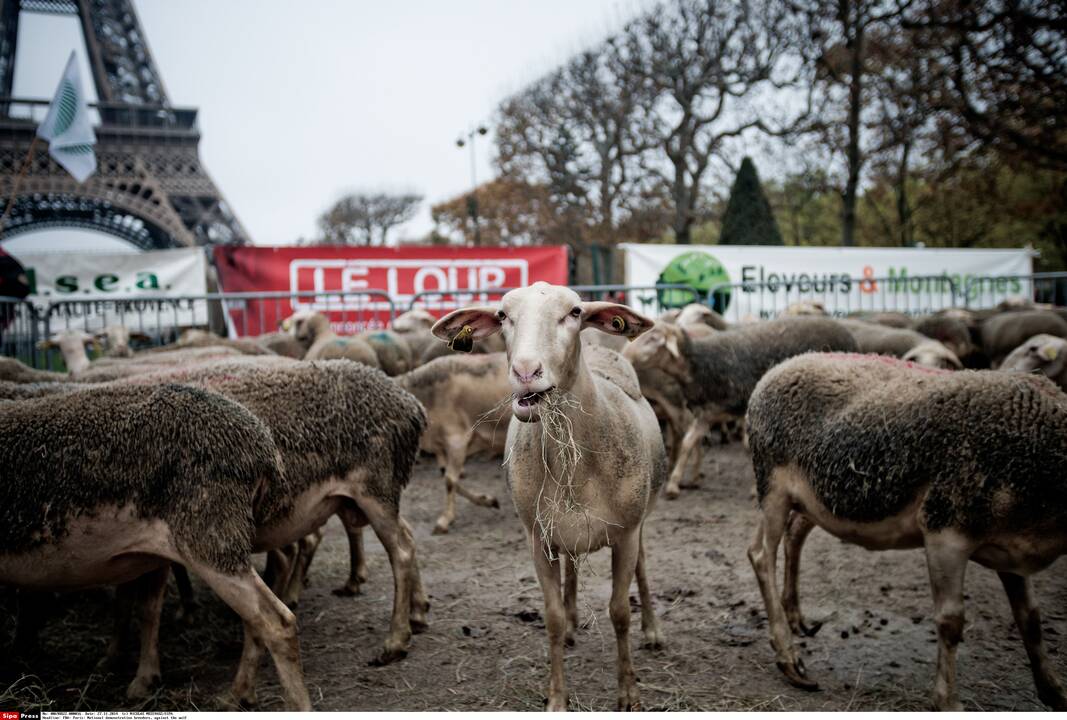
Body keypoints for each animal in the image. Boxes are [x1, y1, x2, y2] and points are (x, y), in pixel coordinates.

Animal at [2, 384, 311, 708]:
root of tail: (265, 449)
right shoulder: (145, 553)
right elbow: (143, 608)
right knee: (257, 614)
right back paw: (241, 694)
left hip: (210, 538)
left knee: (278, 622)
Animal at [426, 281, 661, 708]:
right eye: (502, 315)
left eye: (575, 312)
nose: (525, 372)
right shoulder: (538, 538)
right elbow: (550, 616)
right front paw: (557, 697)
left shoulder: (625, 534)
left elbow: (620, 612)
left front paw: (628, 694)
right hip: (562, 531)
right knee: (572, 567)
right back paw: (572, 624)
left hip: (640, 522)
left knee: (643, 568)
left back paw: (653, 630)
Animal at [623, 317, 853, 499]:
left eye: (653, 338)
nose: (625, 355)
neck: (699, 363)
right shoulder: (707, 413)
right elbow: (689, 442)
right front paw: (674, 484)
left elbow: (749, 447)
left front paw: (754, 489)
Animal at [746, 352, 1067, 712]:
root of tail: (780, 367)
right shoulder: (946, 529)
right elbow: (951, 621)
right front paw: (947, 701)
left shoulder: (1009, 549)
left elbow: (1031, 620)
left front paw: (1053, 691)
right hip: (772, 484)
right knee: (761, 554)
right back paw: (789, 658)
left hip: (814, 497)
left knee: (794, 534)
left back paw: (796, 618)